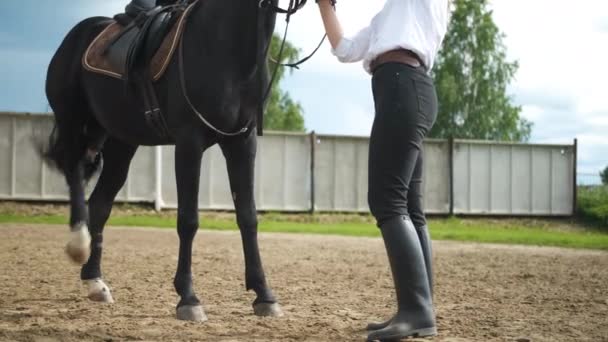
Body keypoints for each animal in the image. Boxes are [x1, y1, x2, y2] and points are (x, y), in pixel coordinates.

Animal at [43, 0, 294, 320]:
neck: (223, 45)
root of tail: (77, 35)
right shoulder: (189, 142)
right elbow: (188, 220)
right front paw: (188, 298)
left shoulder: (241, 142)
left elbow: (248, 216)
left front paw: (264, 295)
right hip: (73, 122)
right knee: (75, 177)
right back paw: (78, 245)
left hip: (121, 142)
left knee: (100, 204)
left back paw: (95, 282)